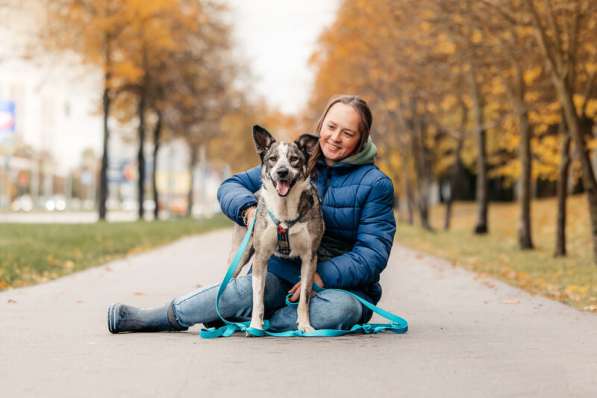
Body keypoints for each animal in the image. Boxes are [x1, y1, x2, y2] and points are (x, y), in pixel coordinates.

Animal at [228, 124, 324, 332]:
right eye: (272, 158)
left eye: (294, 158)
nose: (282, 171)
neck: (284, 209)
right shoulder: (261, 257)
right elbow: (258, 298)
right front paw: (255, 326)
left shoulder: (309, 257)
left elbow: (304, 296)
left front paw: (305, 325)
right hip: (240, 254)